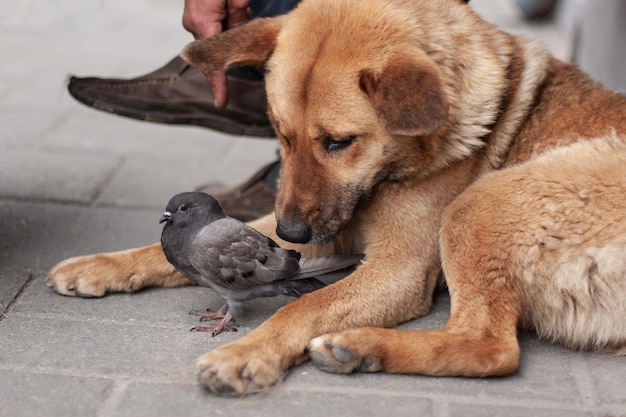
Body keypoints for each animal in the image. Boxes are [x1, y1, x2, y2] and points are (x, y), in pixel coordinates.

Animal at [48, 0, 624, 394]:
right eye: (280, 134)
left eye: (339, 142)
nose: (291, 236)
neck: (394, 169)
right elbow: (170, 248)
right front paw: (101, 264)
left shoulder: (395, 268)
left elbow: (304, 306)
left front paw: (250, 350)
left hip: (478, 205)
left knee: (491, 346)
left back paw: (362, 346)